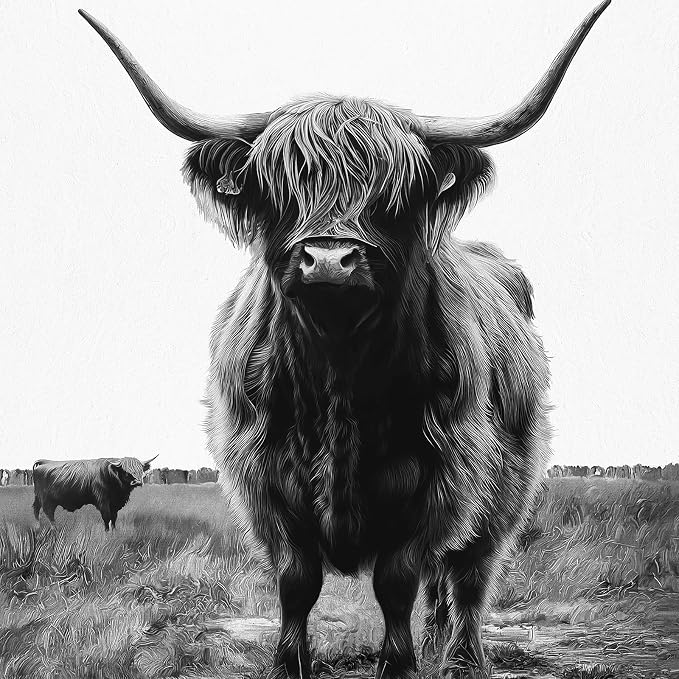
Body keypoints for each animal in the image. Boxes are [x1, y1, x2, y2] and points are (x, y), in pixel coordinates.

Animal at [80, 3, 610, 677]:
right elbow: (297, 581)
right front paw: (291, 663)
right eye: (279, 187)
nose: (330, 260)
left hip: (506, 488)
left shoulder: (438, 480)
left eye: (396, 192)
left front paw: (399, 664)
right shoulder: (265, 481)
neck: (339, 373)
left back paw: (461, 656)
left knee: (468, 574)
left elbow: (397, 579)